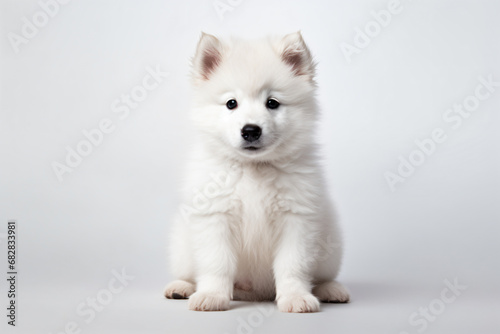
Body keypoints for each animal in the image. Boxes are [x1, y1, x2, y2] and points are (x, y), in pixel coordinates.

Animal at [164, 31, 348, 314]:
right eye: (231, 103)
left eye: (272, 103)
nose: (250, 130)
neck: (253, 167)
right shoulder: (215, 217)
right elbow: (217, 263)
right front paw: (212, 296)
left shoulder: (296, 220)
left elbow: (292, 265)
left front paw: (295, 297)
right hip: (182, 245)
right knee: (187, 272)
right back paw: (180, 287)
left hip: (330, 247)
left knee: (322, 276)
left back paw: (331, 289)